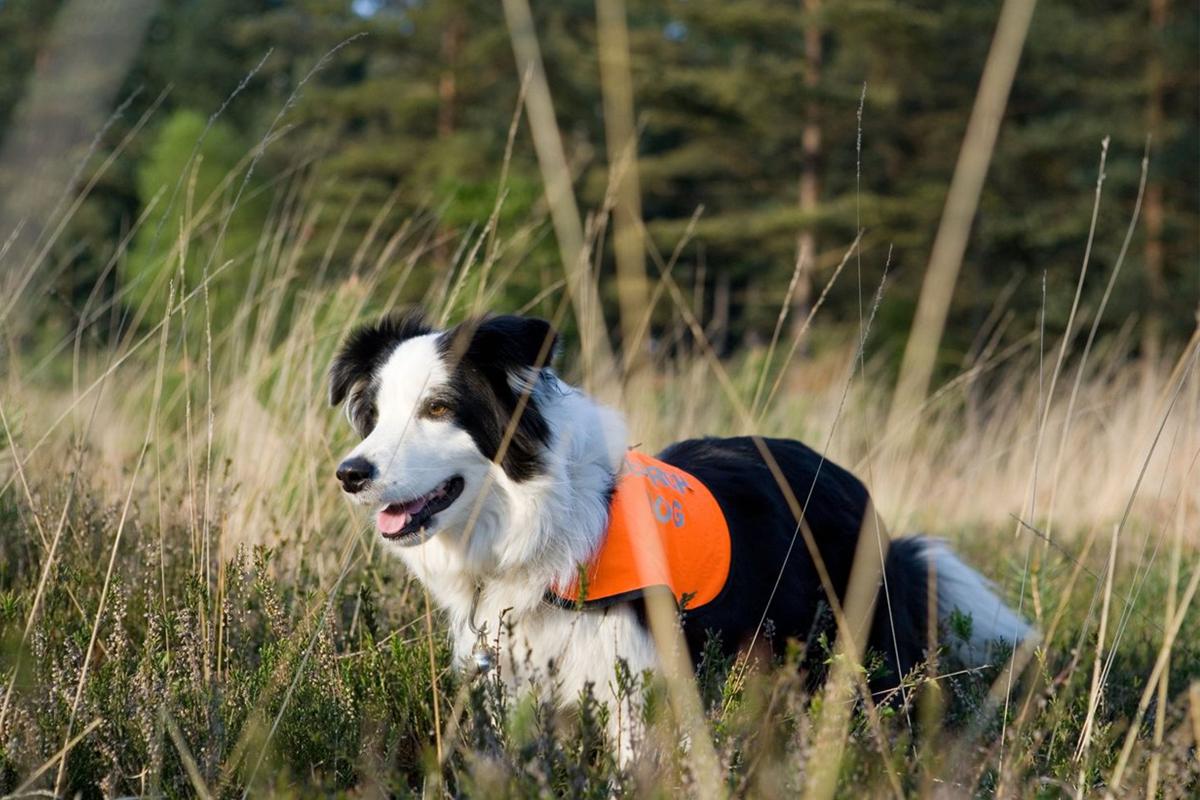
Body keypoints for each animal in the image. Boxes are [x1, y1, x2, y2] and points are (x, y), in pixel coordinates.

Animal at [331, 309, 1032, 734]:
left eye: (437, 408)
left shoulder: (634, 691)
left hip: (864, 657)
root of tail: (851, 484)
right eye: (374, 416)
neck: (543, 525)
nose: (350, 473)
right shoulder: (511, 683)